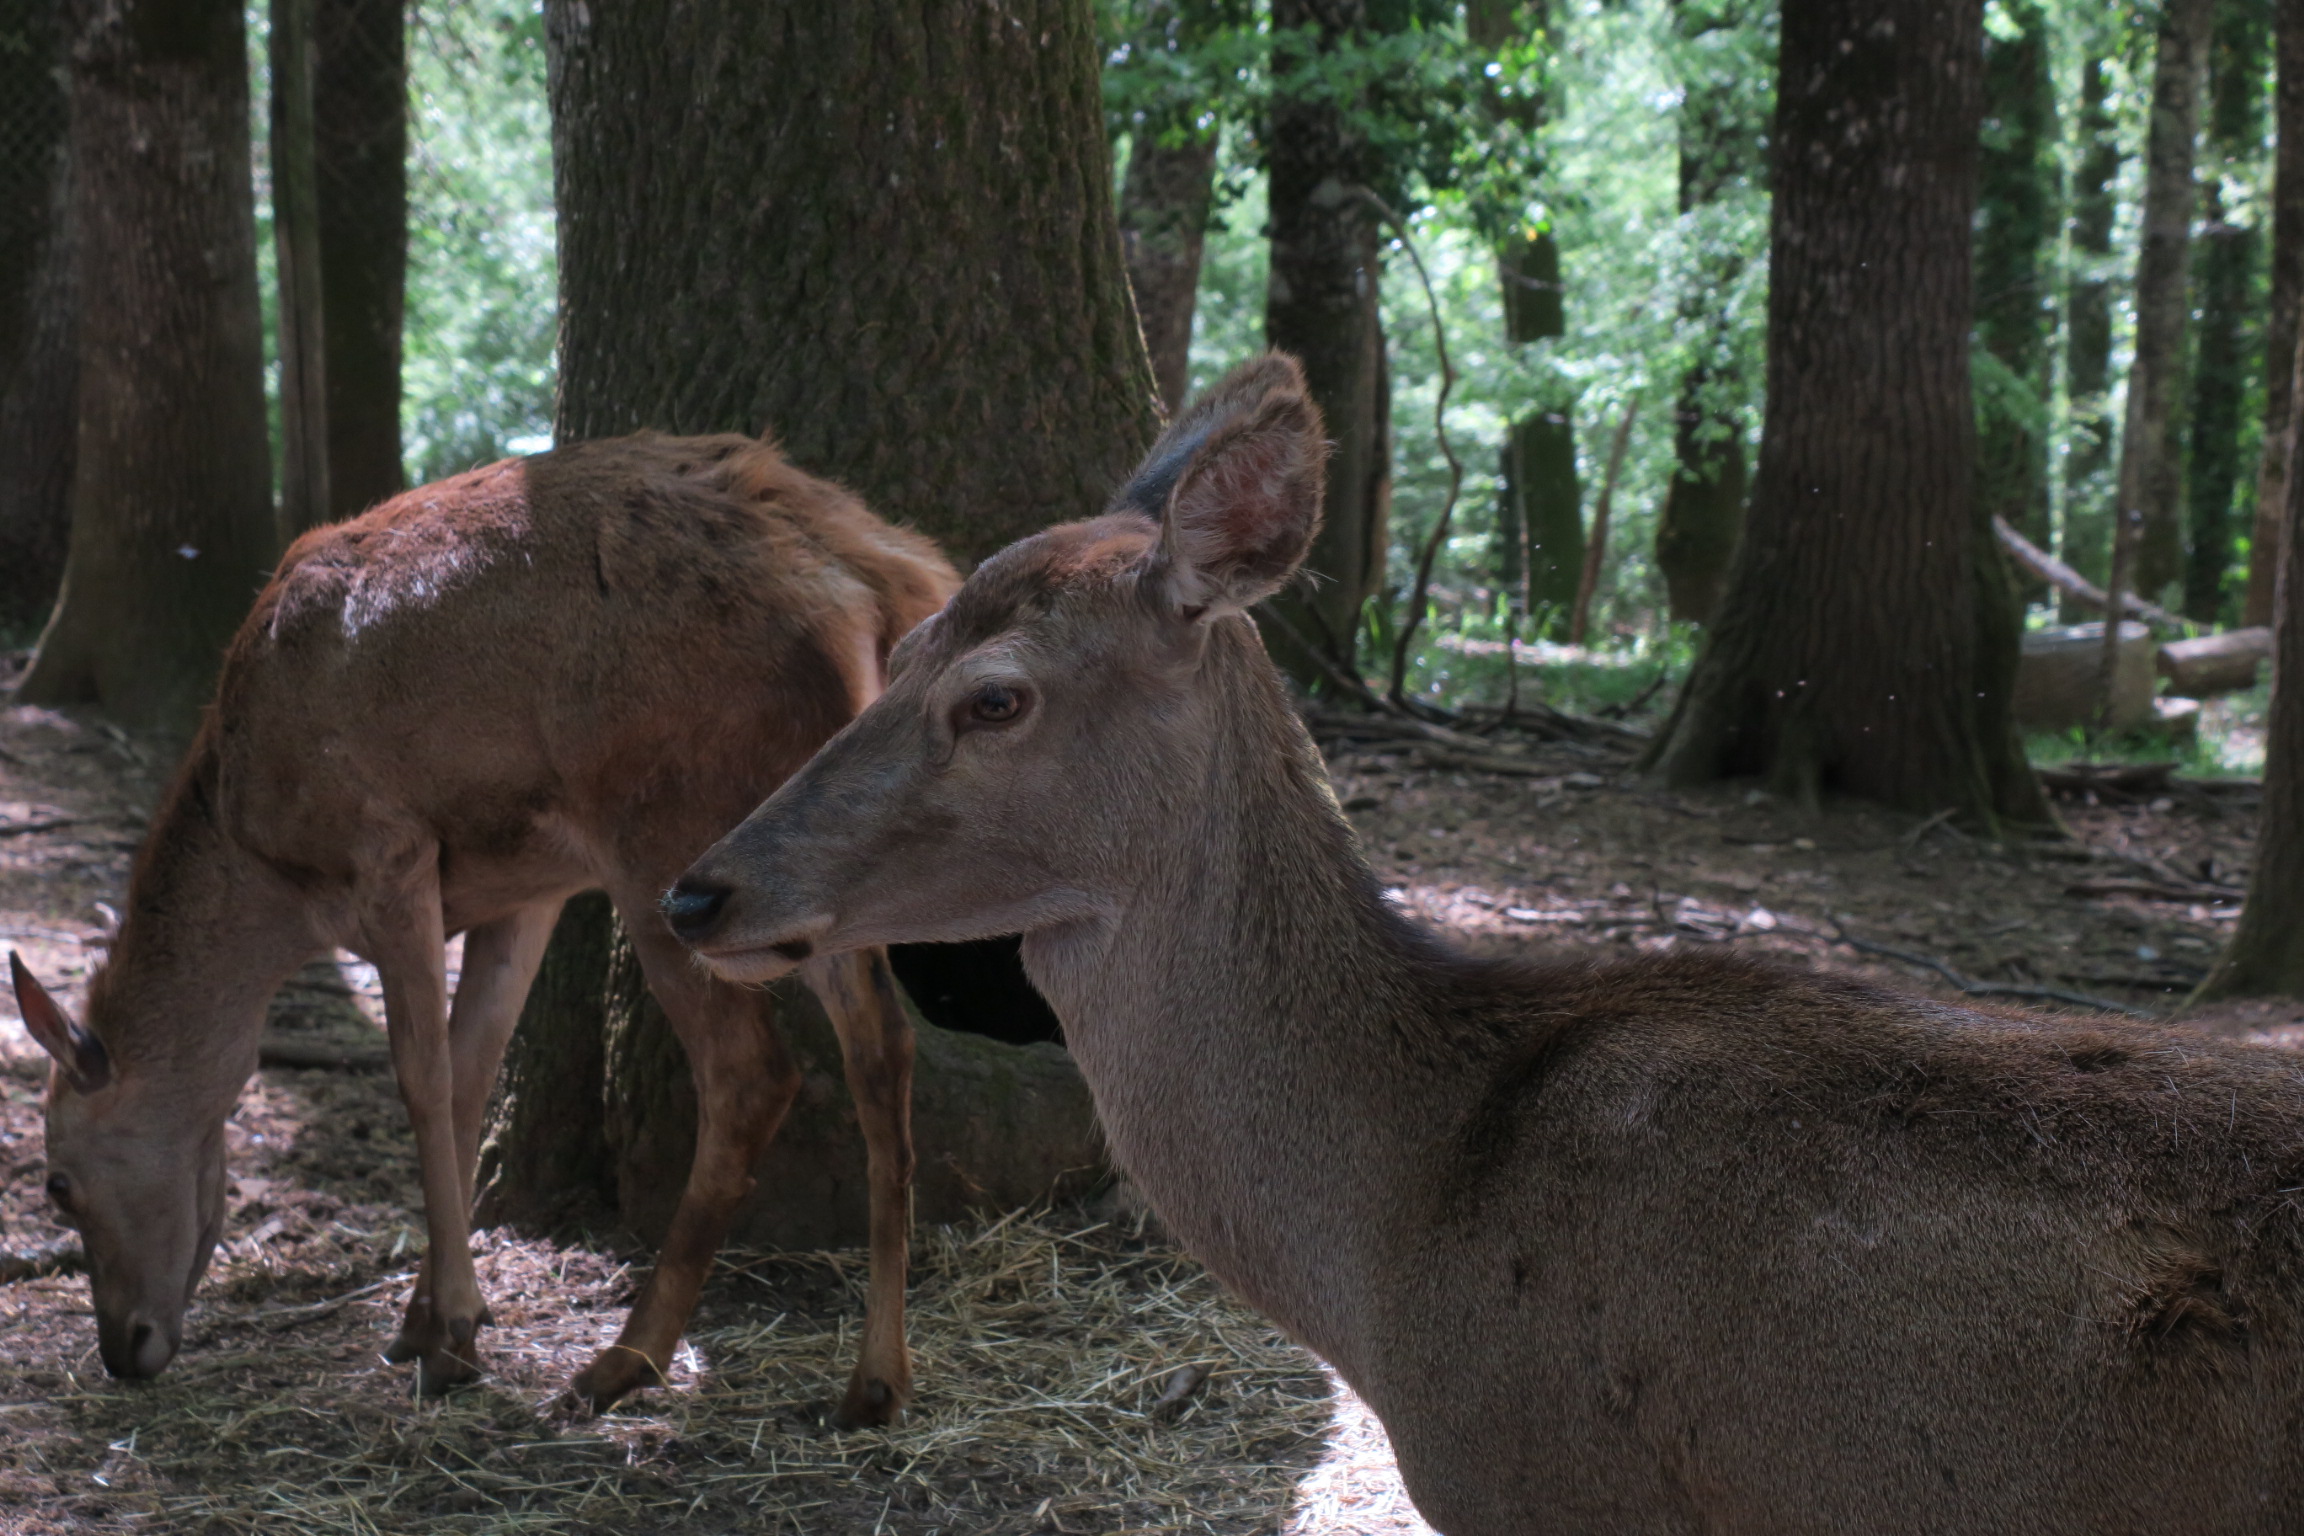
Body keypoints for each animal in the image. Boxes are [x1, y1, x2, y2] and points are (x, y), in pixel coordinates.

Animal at [8, 431, 956, 1425]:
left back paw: (624, 1361)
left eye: (57, 1182)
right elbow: (473, 1073)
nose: (123, 1349)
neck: (264, 861)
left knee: (751, 1072)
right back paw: (876, 1380)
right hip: (811, 861)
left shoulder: (387, 850)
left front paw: (455, 1334)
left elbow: (423, 1081)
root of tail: (877, 577)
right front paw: (423, 1321)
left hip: (666, 829)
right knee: (882, 1046)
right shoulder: (525, 887)